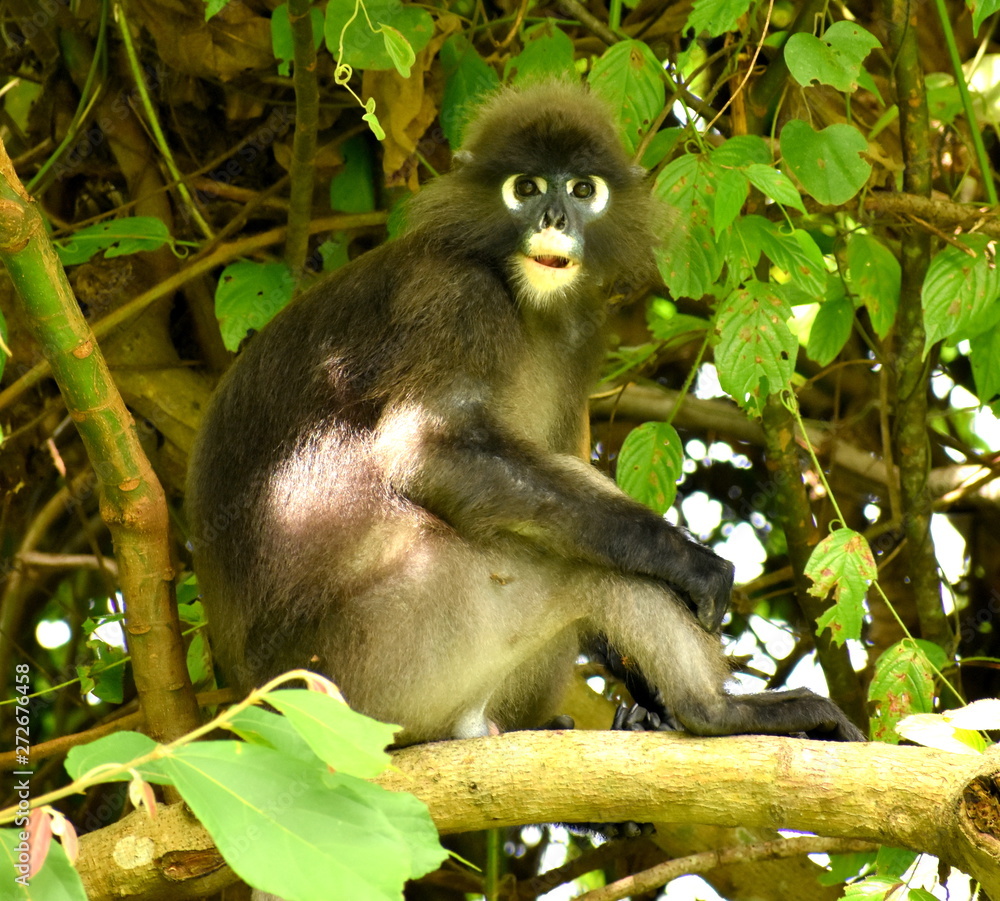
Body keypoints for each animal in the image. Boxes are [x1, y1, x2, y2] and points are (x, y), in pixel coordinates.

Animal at [188, 82, 868, 744]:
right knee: (579, 559)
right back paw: (717, 710)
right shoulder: (451, 298)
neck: (518, 295)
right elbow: (431, 450)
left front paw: (647, 704)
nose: (554, 218)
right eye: (528, 187)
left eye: (583, 189)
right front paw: (690, 563)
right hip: (391, 654)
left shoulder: (579, 333)